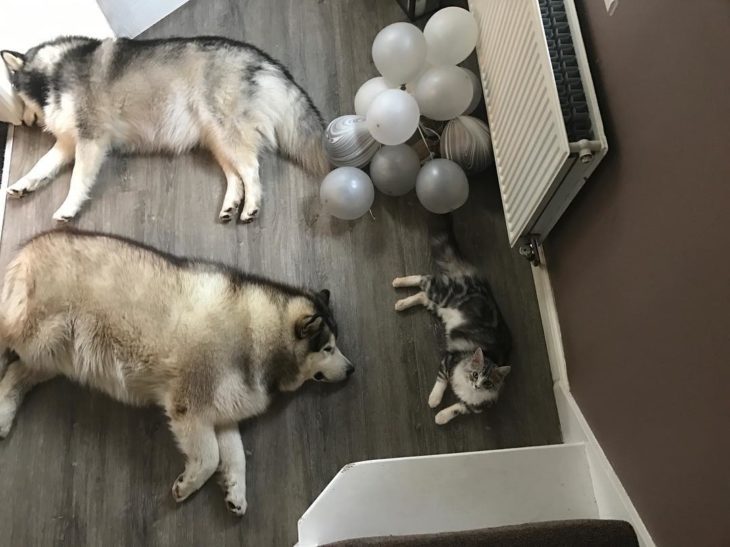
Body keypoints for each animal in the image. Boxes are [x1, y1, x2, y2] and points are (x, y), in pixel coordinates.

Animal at [0, 36, 326, 223]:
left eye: (16, 93)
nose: (26, 122)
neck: (52, 76)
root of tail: (260, 55)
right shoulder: (71, 142)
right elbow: (42, 164)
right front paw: (23, 183)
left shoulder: (91, 139)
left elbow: (77, 180)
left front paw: (68, 207)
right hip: (215, 138)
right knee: (235, 174)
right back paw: (231, 204)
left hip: (225, 130)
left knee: (251, 168)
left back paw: (251, 206)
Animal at [0, 229, 352, 516]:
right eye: (328, 348)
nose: (352, 369)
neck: (258, 334)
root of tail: (28, 246)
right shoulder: (189, 407)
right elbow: (210, 457)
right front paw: (189, 483)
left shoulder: (222, 412)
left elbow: (236, 456)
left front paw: (236, 492)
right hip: (33, 332)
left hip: (52, 354)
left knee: (16, 374)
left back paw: (3, 414)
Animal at [392, 229, 512, 426]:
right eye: (475, 375)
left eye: (487, 383)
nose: (476, 385)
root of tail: (475, 278)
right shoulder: (449, 358)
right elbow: (441, 381)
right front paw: (434, 400)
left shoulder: (476, 406)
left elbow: (457, 408)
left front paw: (441, 417)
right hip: (442, 294)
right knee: (423, 278)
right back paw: (398, 282)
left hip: (439, 306)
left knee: (421, 295)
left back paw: (401, 304)